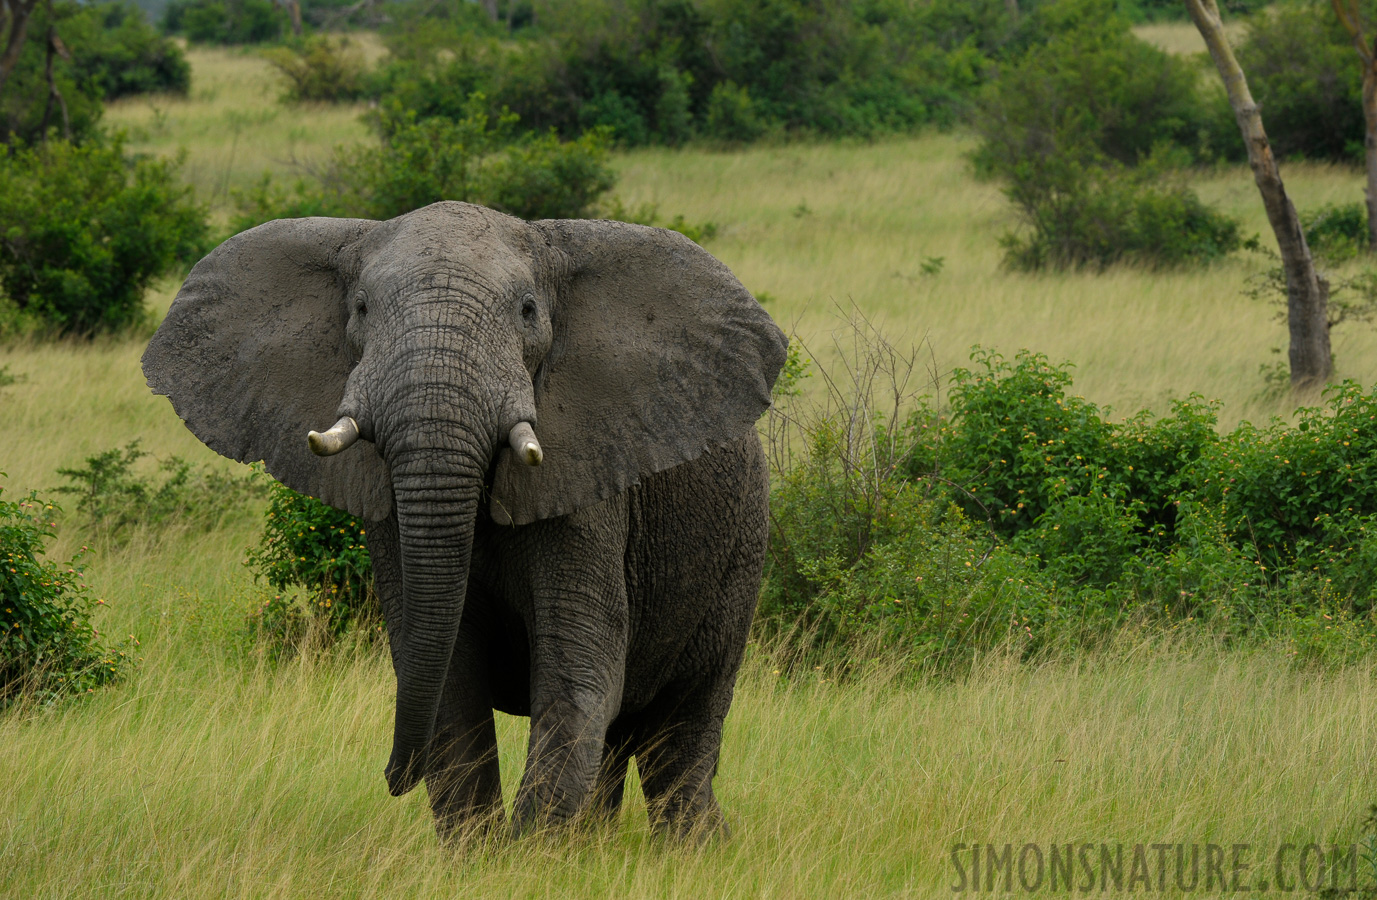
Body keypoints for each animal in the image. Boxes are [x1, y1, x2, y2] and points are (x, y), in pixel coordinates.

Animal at [142, 200, 787, 842]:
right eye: (361, 308)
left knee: (683, 724)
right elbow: (451, 683)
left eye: (528, 310)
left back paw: (694, 848)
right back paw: (602, 841)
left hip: (742, 543)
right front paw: (480, 852)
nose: (392, 777)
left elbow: (577, 676)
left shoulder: (591, 490)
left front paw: (528, 851)